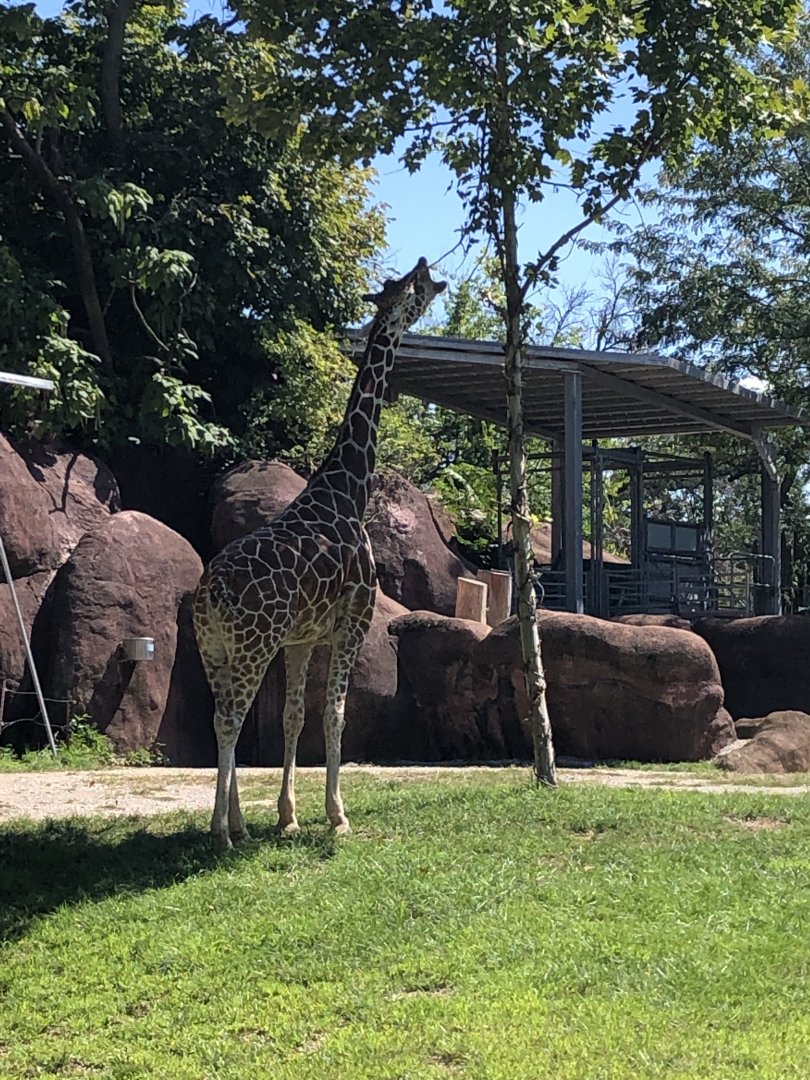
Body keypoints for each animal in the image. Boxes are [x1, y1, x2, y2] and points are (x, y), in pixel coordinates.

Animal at [193, 257, 446, 849]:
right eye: (413, 287)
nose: (430, 266)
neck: (348, 488)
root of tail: (209, 594)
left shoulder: (302, 638)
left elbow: (292, 716)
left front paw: (287, 816)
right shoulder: (354, 619)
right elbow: (334, 713)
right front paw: (337, 816)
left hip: (214, 648)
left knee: (223, 716)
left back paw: (239, 823)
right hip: (251, 644)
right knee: (229, 720)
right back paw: (220, 833)